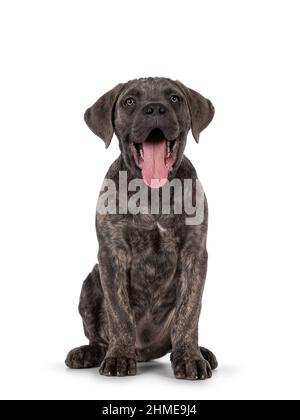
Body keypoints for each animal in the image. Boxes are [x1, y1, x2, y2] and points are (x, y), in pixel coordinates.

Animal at [65, 76, 218, 380]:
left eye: (174, 98)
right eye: (129, 101)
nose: (155, 109)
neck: (152, 192)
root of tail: (146, 352)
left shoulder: (195, 254)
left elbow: (188, 313)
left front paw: (190, 358)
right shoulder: (111, 255)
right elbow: (119, 314)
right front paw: (118, 357)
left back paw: (201, 352)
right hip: (90, 282)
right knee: (100, 338)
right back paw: (89, 353)